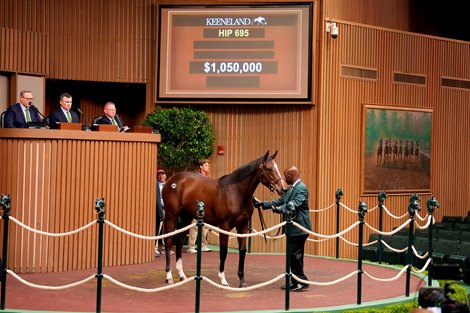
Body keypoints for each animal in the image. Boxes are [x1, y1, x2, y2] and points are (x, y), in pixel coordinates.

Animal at [162, 150, 286, 286]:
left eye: (276, 167)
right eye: (269, 169)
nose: (283, 189)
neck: (236, 193)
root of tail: (171, 180)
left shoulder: (242, 226)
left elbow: (242, 250)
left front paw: (242, 281)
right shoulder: (224, 227)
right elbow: (223, 251)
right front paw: (223, 279)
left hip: (186, 217)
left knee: (179, 241)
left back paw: (182, 274)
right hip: (171, 216)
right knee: (168, 241)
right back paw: (169, 276)